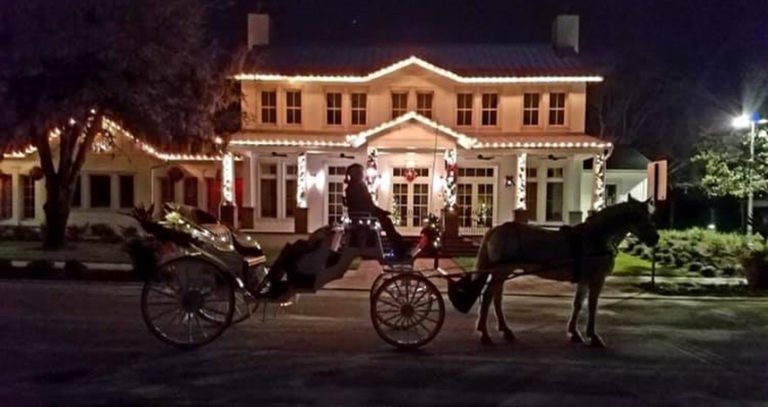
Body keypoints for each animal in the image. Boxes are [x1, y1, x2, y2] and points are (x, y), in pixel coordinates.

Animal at [468, 197, 660, 348]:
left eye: (650, 215)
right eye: (638, 216)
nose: (656, 238)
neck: (596, 237)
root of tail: (495, 229)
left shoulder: (584, 279)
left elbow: (578, 304)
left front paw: (574, 333)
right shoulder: (596, 278)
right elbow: (592, 306)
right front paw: (593, 336)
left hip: (502, 271)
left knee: (496, 298)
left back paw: (505, 330)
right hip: (500, 271)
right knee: (488, 297)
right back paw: (485, 334)